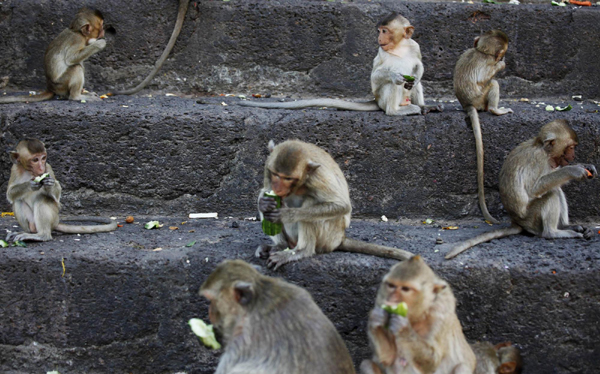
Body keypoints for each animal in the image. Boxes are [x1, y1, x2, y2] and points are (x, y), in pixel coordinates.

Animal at [255, 138, 414, 268]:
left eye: (288, 178)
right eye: (275, 174)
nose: (277, 188)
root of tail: (340, 238)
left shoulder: (318, 177)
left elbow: (341, 206)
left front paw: (287, 214)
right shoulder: (267, 165)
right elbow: (265, 191)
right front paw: (265, 204)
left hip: (329, 236)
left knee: (310, 205)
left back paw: (301, 251)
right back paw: (280, 245)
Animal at [446, 120, 596, 260]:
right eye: (570, 147)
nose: (573, 156)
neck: (543, 149)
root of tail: (517, 221)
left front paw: (585, 165)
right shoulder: (538, 160)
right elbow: (535, 188)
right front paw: (574, 170)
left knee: (556, 189)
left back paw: (564, 226)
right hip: (531, 218)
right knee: (551, 194)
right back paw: (553, 233)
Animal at [454, 30, 510, 222]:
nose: (504, 56)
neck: (481, 50)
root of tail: (468, 104)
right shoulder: (487, 62)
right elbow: (486, 76)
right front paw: (501, 64)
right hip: (480, 97)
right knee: (493, 83)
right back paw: (495, 110)